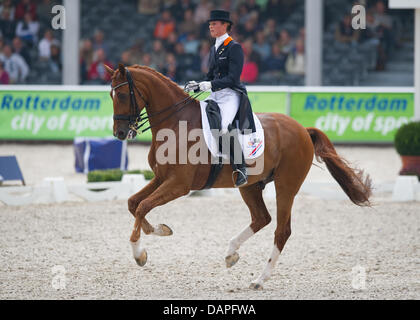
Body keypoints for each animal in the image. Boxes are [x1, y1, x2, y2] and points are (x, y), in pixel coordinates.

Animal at [104, 64, 370, 290]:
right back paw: (231, 253)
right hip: (250, 185)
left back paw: (259, 279)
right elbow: (134, 203)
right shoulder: (161, 178)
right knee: (261, 218)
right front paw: (160, 230)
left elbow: (143, 206)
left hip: (286, 186)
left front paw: (139, 254)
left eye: (123, 95)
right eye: (110, 95)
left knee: (281, 231)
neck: (177, 123)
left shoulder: (179, 185)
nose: (119, 133)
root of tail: (302, 129)